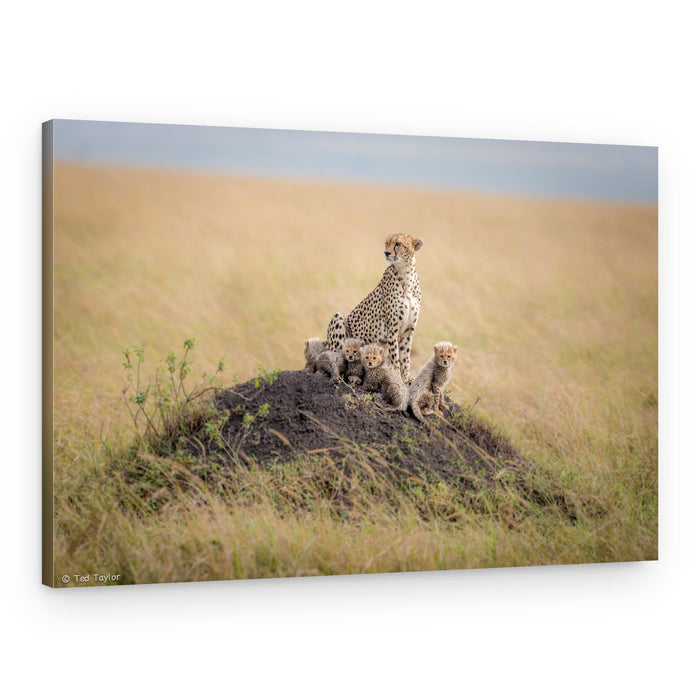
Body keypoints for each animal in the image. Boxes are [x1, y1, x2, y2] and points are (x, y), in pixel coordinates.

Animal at [327, 234, 423, 384]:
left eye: (398, 244)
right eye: (386, 243)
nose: (386, 253)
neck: (406, 274)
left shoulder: (408, 330)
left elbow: (405, 357)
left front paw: (406, 378)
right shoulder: (392, 331)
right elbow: (395, 358)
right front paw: (398, 378)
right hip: (337, 319)